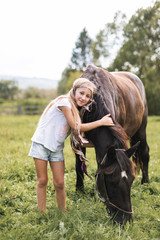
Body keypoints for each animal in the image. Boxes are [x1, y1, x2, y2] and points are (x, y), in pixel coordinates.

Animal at [74, 64, 149, 224]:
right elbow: (79, 165)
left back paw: (146, 182)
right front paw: (79, 190)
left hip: (141, 131)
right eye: (112, 181)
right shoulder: (77, 140)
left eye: (132, 179)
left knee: (145, 153)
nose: (126, 219)